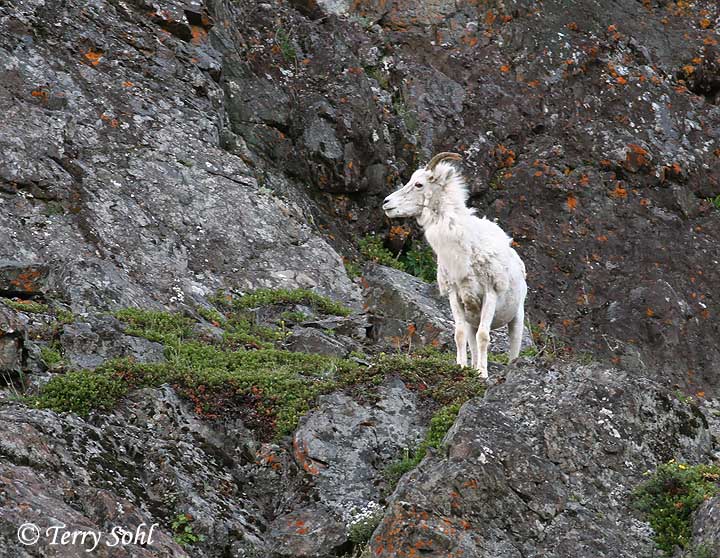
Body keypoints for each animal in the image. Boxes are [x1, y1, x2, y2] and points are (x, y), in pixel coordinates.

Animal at [382, 152, 527, 378]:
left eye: (419, 184)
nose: (386, 203)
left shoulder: (490, 294)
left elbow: (484, 336)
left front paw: (483, 375)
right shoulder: (455, 295)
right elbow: (459, 335)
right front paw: (462, 368)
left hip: (516, 318)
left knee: (513, 348)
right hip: (471, 321)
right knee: (472, 341)